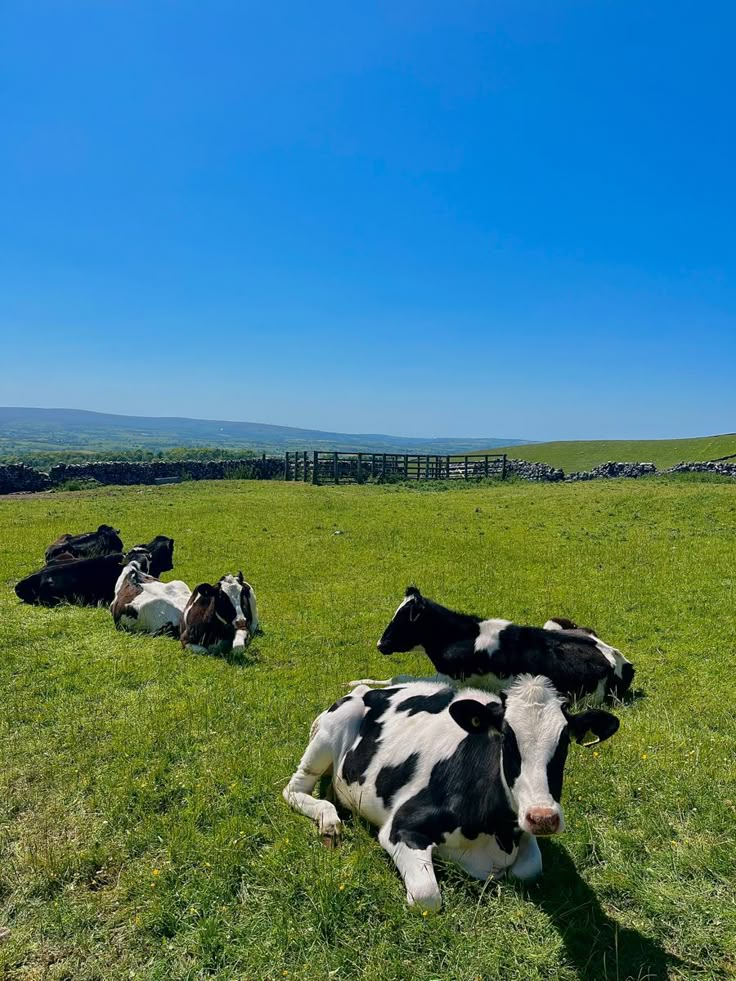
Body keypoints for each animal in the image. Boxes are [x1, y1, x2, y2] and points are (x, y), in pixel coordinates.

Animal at [284, 672, 620, 912]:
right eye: (505, 738)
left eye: (564, 743)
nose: (543, 817)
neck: (495, 834)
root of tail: (367, 689)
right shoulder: (400, 826)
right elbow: (426, 897)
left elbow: (530, 868)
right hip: (331, 732)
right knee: (294, 789)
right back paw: (328, 820)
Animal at [350, 584, 632, 700]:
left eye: (403, 620)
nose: (380, 644)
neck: (461, 635)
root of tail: (614, 656)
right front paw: (356, 681)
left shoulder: (451, 678)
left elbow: (400, 678)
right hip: (553, 621)